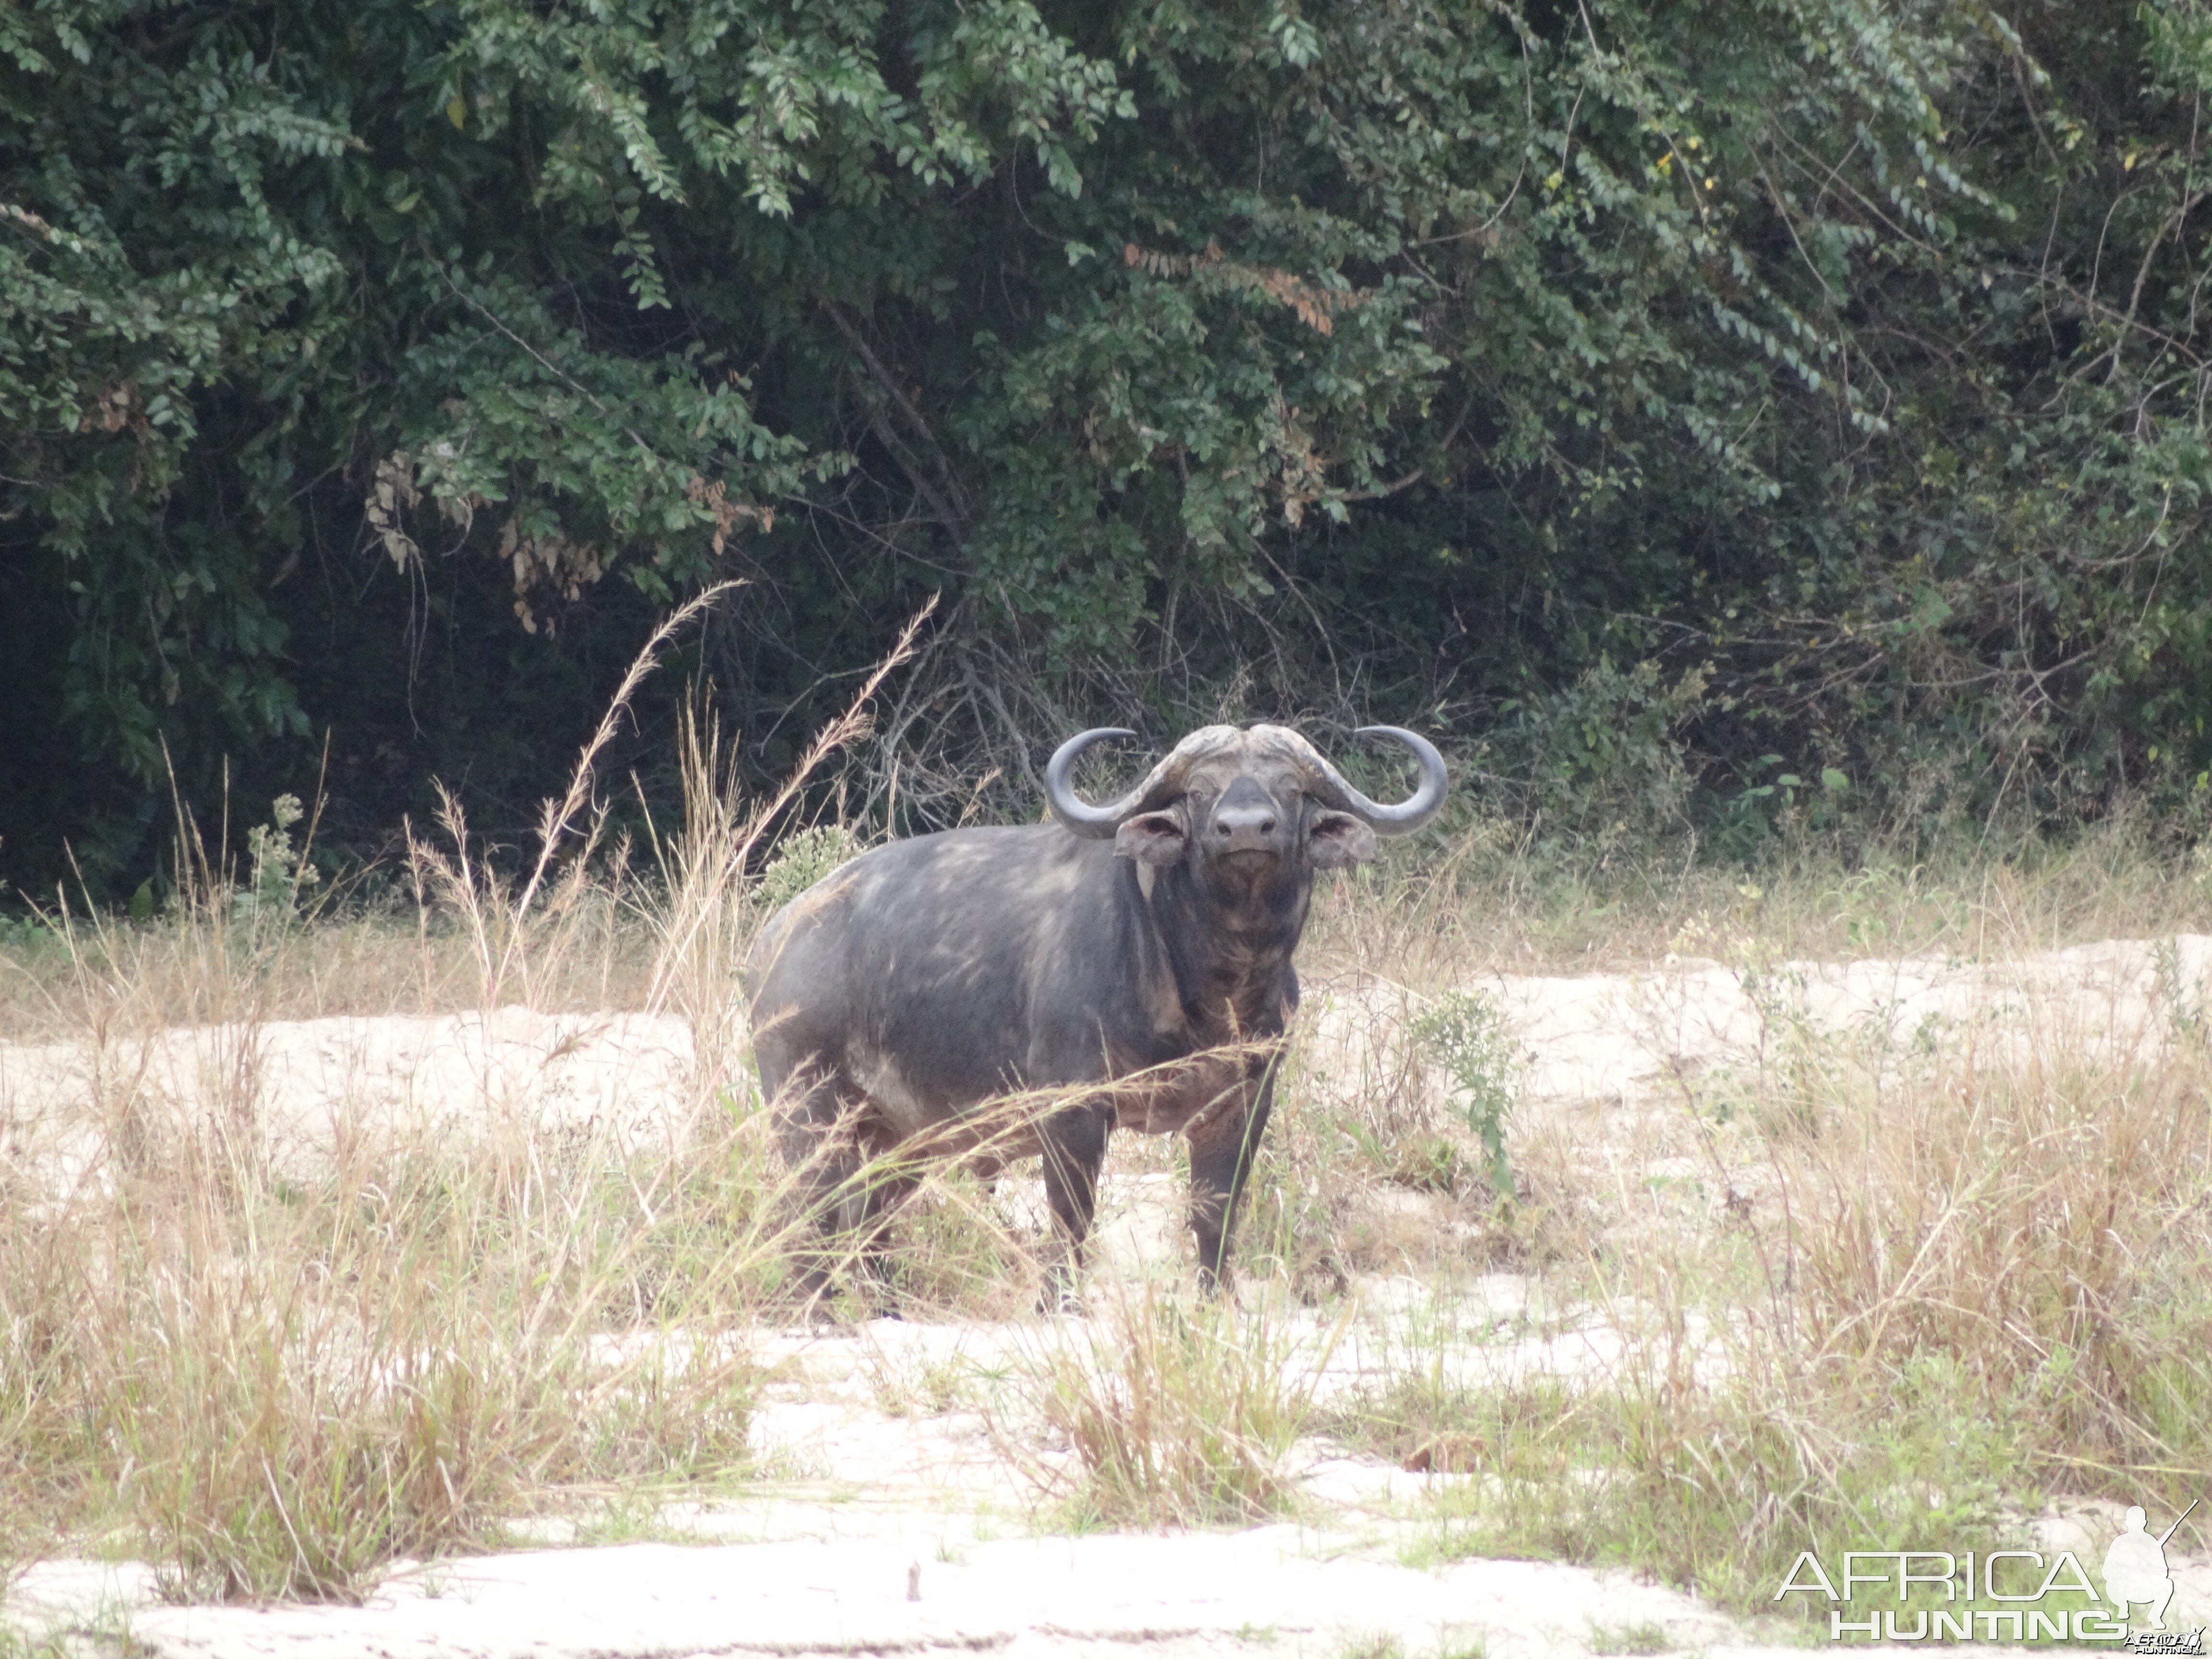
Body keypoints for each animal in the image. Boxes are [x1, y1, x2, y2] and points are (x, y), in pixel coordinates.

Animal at [734, 725, 1442, 1309]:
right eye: (1200, 792)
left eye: (1290, 789)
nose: (1244, 829)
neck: (1212, 981)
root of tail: (774, 940)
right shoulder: (1072, 1104)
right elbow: (1071, 1212)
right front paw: (1061, 1303)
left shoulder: (1243, 1103)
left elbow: (1215, 1213)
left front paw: (1219, 1302)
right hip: (807, 1108)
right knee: (811, 1209)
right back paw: (818, 1307)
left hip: (897, 1137)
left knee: (866, 1220)